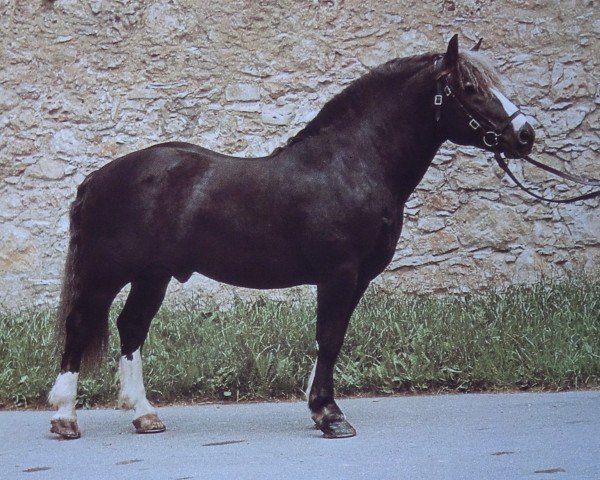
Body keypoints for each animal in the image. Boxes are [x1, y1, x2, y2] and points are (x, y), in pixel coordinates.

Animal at [47, 34, 536, 438]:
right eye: (470, 87)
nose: (525, 134)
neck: (352, 164)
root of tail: (98, 178)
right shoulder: (339, 275)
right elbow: (330, 337)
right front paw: (330, 415)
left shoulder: (357, 279)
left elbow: (331, 339)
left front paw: (320, 408)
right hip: (106, 272)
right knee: (79, 327)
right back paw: (65, 417)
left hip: (153, 275)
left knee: (131, 328)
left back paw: (145, 415)